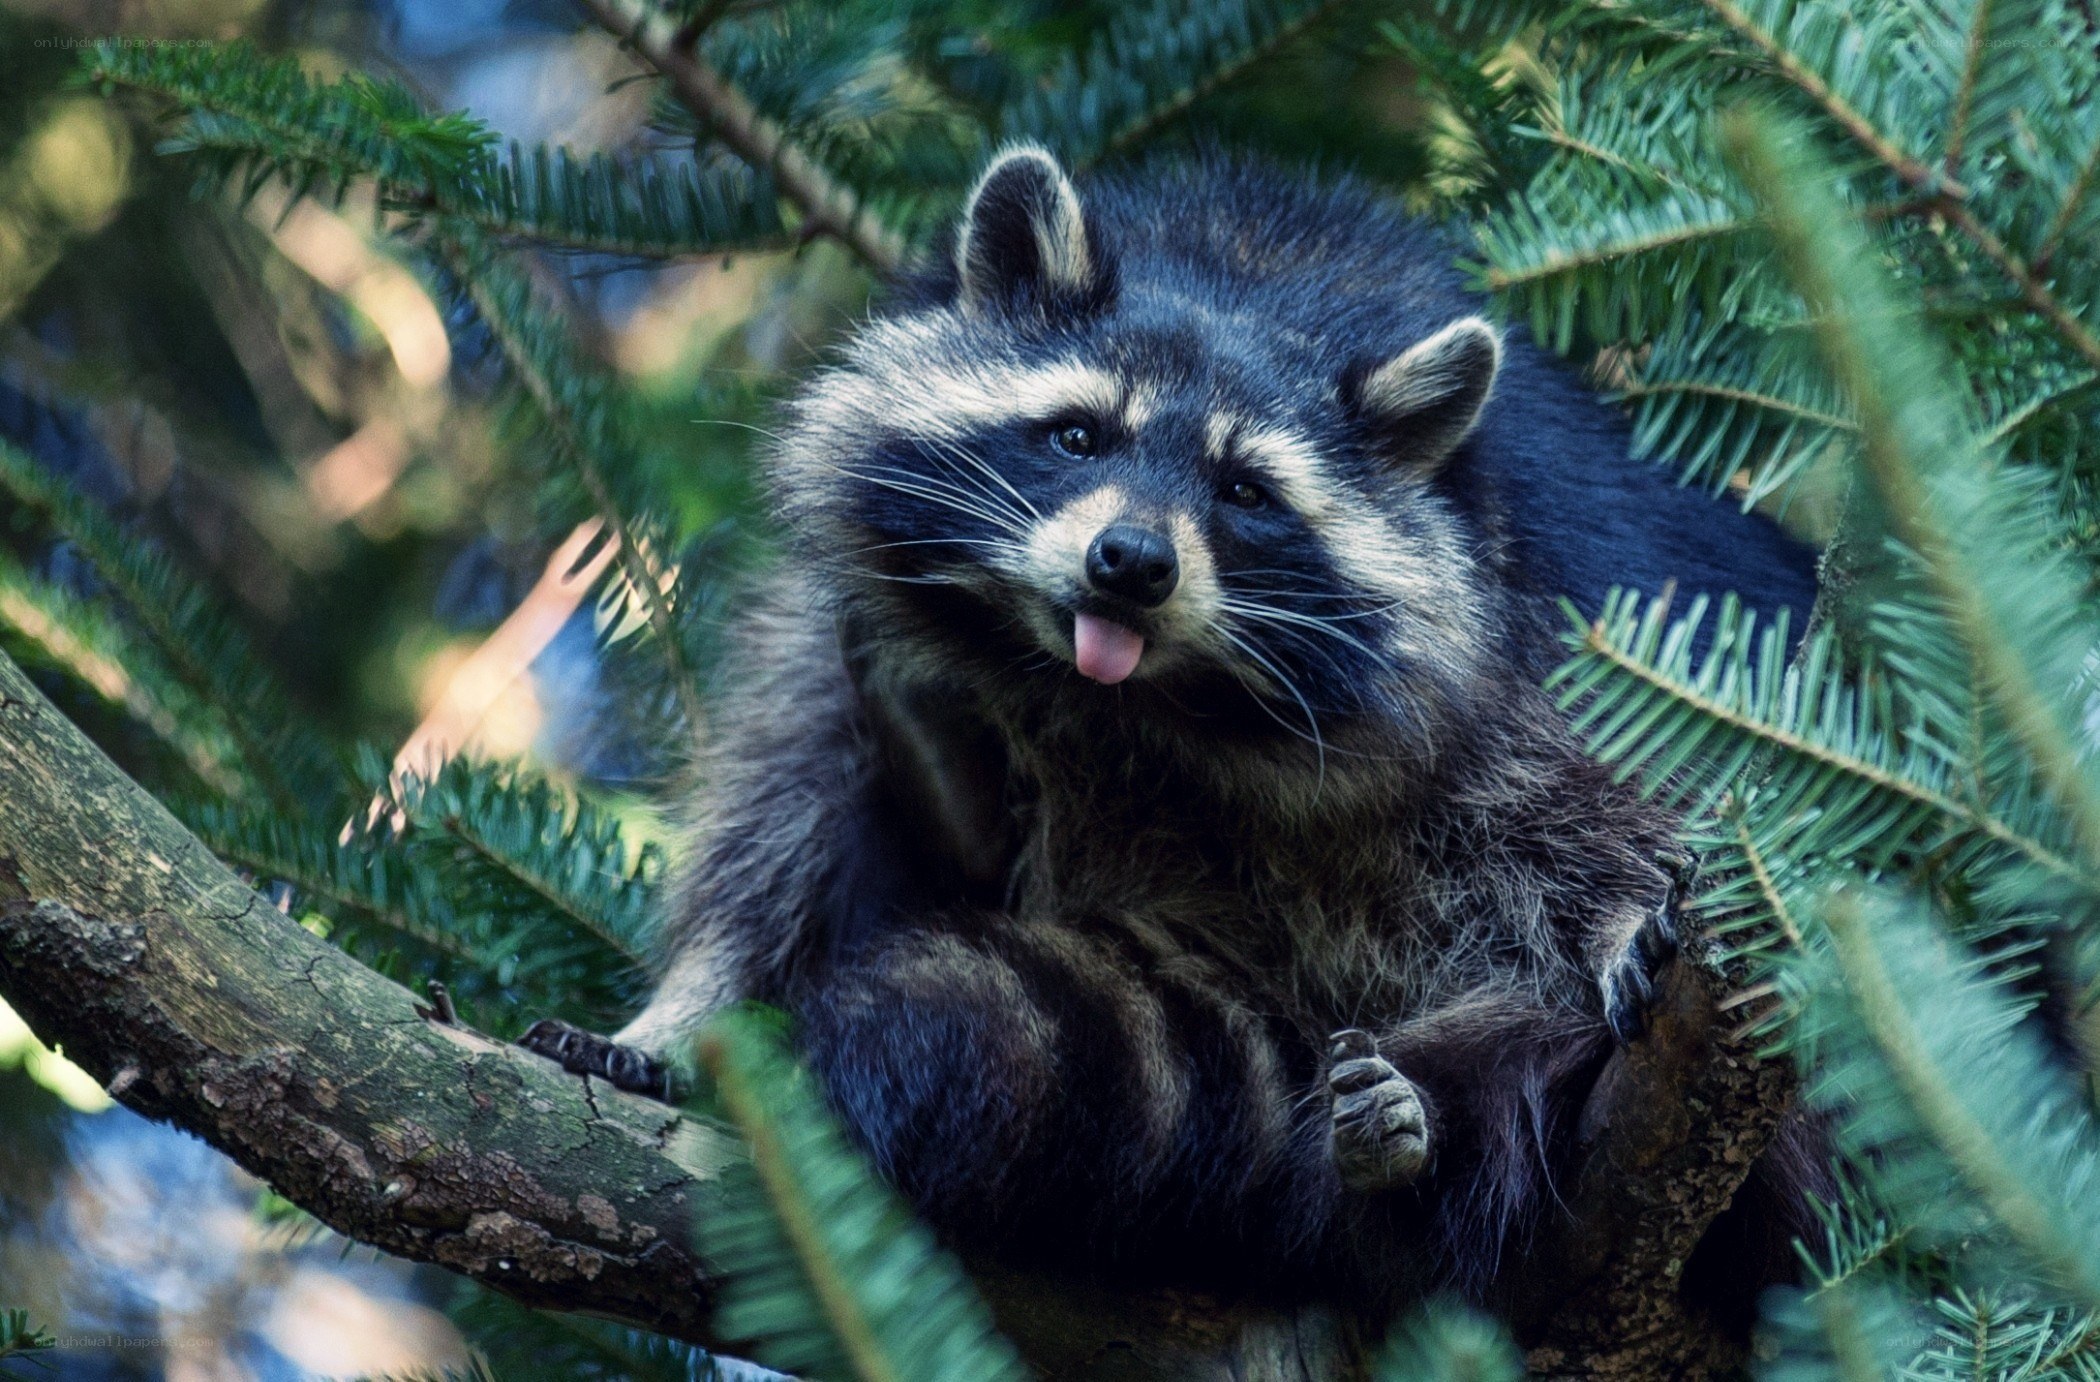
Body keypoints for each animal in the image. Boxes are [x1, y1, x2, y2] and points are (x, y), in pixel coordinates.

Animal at [523, 148, 1821, 1309]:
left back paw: (1420, 1126)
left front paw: (1616, 917)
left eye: (1246, 491)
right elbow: (782, 811)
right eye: (1078, 434)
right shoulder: (848, 617)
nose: (1133, 562)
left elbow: (1604, 795)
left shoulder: (1537, 625)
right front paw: (690, 1007)